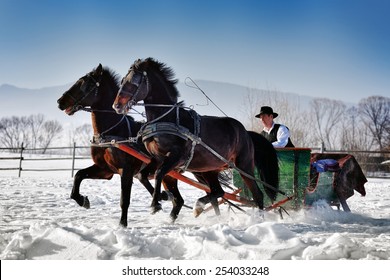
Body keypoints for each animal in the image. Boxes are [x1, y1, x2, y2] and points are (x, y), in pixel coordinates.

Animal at [56, 63, 183, 225]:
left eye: (85, 83)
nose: (60, 101)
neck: (111, 134)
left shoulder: (126, 170)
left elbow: (124, 200)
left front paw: (122, 225)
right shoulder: (105, 170)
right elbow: (79, 174)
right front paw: (82, 200)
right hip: (169, 175)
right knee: (178, 200)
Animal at [112, 58, 280, 217]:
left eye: (134, 82)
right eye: (122, 81)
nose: (116, 106)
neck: (166, 118)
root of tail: (246, 132)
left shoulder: (176, 156)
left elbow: (159, 173)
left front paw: (155, 204)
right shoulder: (157, 158)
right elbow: (142, 175)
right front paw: (161, 197)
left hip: (244, 166)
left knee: (257, 195)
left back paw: (258, 220)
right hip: (209, 169)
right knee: (218, 191)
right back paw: (199, 207)